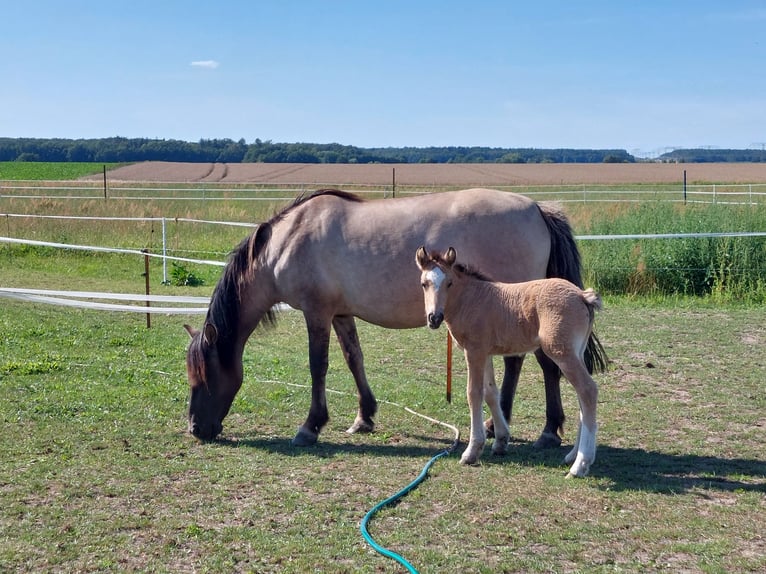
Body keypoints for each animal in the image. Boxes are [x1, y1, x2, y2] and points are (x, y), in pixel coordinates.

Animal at [184, 190, 608, 450]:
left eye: (204, 374)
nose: (195, 429)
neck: (287, 241)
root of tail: (537, 208)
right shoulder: (341, 313)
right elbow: (354, 360)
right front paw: (364, 417)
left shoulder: (316, 312)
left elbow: (318, 366)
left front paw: (310, 426)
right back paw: (511, 426)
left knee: (536, 365)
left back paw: (537, 430)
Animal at [416, 248, 604, 476]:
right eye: (424, 284)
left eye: (449, 283)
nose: (434, 318)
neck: (471, 299)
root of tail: (582, 295)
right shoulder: (485, 353)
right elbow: (490, 393)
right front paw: (500, 441)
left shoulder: (474, 351)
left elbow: (474, 394)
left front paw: (472, 451)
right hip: (577, 351)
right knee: (582, 396)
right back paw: (572, 456)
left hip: (562, 352)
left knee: (587, 390)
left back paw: (581, 464)